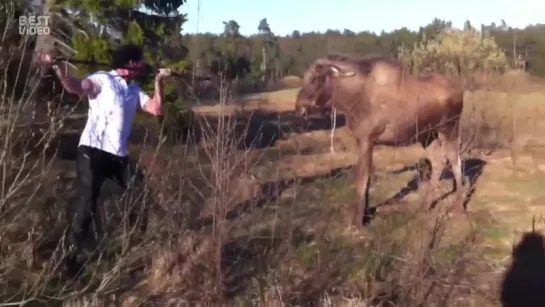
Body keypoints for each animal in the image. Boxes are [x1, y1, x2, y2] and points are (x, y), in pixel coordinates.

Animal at [296, 53, 466, 226]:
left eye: (316, 77)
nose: (299, 106)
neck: (349, 102)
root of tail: (461, 90)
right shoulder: (363, 141)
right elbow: (368, 179)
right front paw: (366, 214)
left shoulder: (366, 139)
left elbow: (362, 180)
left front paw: (358, 222)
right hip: (428, 136)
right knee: (438, 161)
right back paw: (424, 206)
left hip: (449, 128)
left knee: (455, 160)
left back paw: (459, 205)